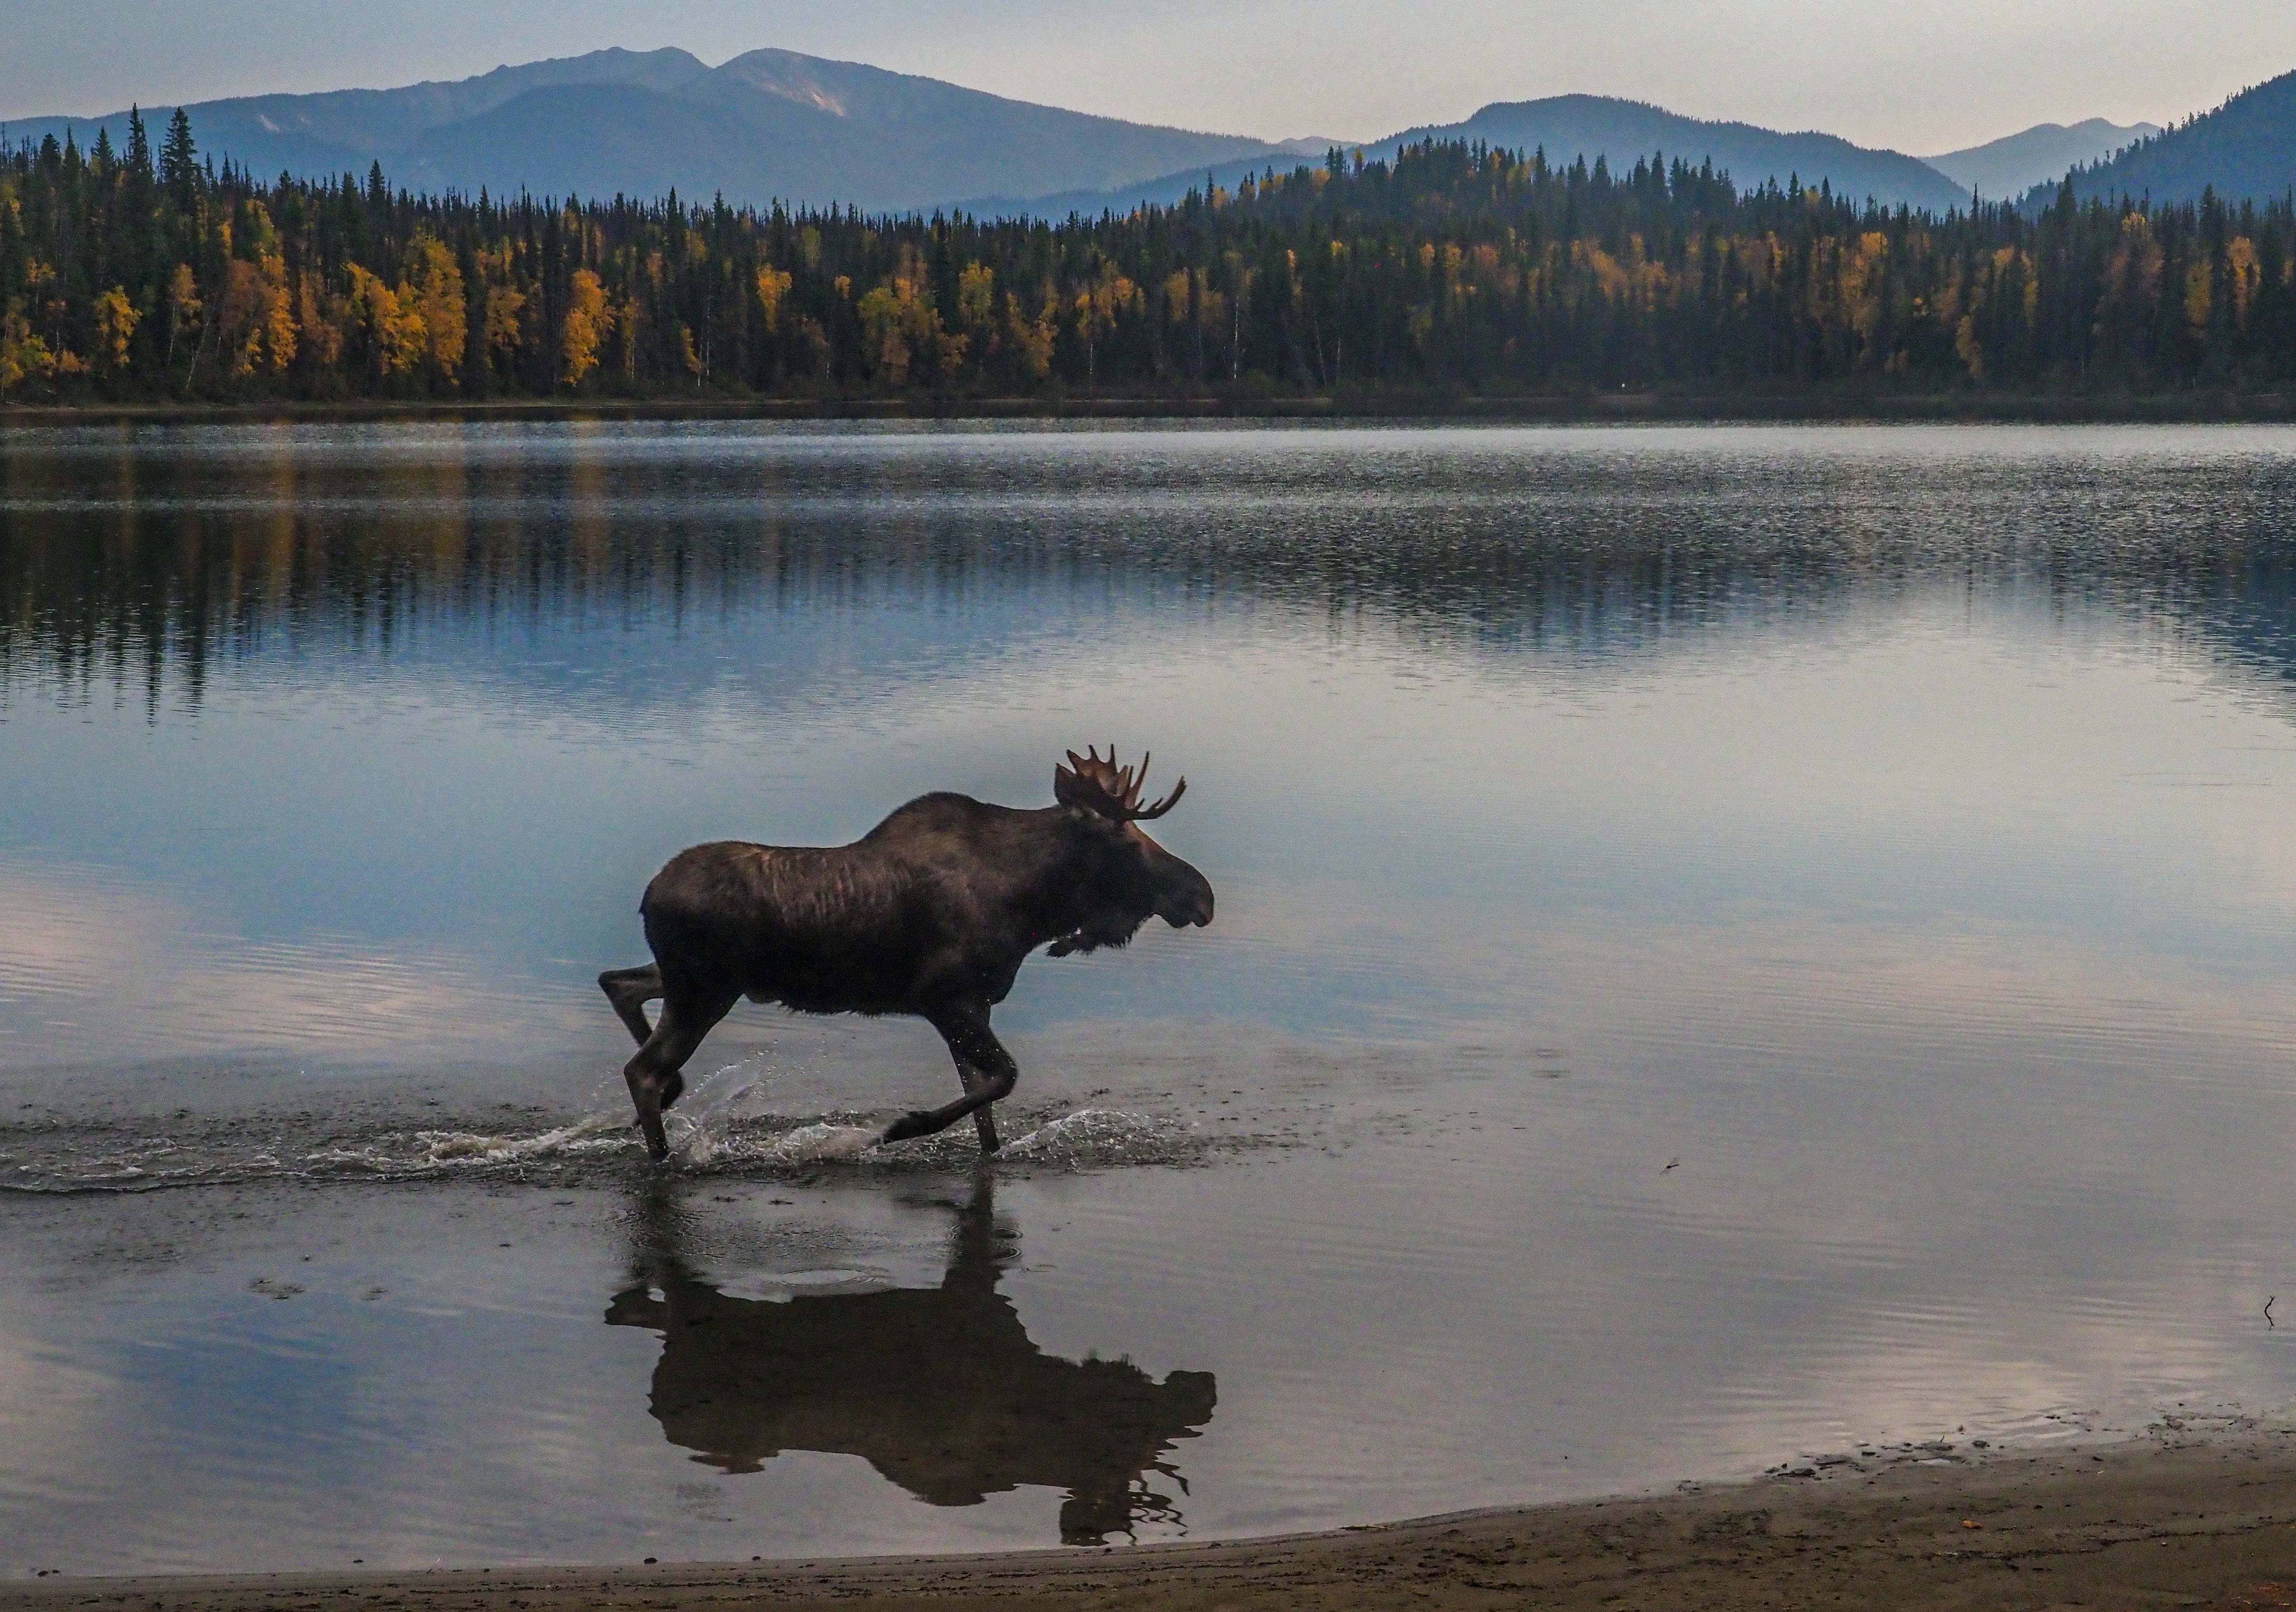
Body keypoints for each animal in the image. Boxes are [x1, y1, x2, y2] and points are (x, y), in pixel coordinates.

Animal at [597, 748, 1221, 1162]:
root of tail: (647, 896)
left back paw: (672, 1097)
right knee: (642, 1069)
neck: (1031, 904)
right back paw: (662, 1153)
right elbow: (1003, 1079)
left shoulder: (975, 1005)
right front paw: (900, 1126)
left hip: (694, 981)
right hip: (703, 990)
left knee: (618, 983)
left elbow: (984, 1106)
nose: (1202, 896)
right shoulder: (945, 998)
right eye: (1127, 841)